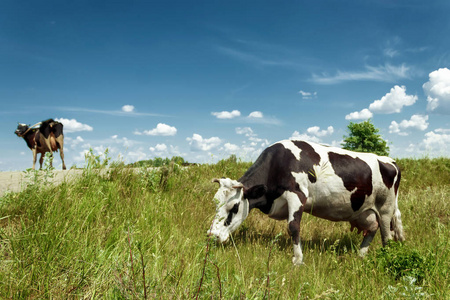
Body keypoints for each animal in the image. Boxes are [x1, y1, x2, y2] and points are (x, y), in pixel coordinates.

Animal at [208, 140, 404, 264]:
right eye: (215, 203)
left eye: (234, 207)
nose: (212, 236)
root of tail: (389, 160)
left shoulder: (297, 195)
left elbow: (293, 227)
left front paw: (298, 260)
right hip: (363, 212)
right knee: (372, 228)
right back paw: (360, 256)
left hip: (386, 208)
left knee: (386, 236)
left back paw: (386, 258)